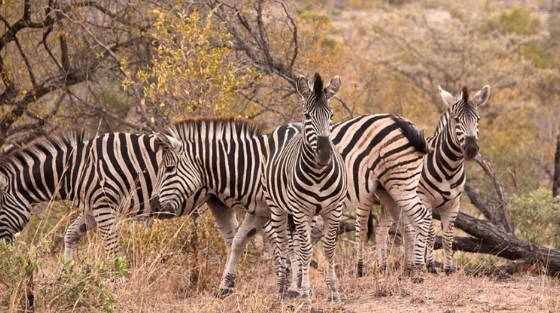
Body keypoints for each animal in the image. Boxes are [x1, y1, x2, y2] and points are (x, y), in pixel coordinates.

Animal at [0, 129, 176, 260]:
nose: (3, 254)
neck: (74, 171)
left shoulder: (103, 206)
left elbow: (111, 249)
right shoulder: (91, 208)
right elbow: (71, 234)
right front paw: (66, 277)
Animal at [262, 72, 346, 300]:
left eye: (331, 115)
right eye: (308, 116)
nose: (325, 154)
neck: (318, 174)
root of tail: (289, 124)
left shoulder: (333, 209)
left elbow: (328, 248)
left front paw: (333, 290)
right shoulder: (300, 210)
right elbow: (306, 250)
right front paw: (307, 295)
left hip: (309, 214)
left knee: (296, 245)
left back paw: (296, 285)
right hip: (277, 208)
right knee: (283, 244)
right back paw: (283, 288)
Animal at [376, 84, 490, 274]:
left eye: (478, 119)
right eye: (456, 120)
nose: (472, 149)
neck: (450, 168)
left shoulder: (454, 203)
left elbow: (448, 236)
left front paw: (449, 268)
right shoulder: (425, 199)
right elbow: (429, 233)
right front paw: (429, 265)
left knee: (392, 228)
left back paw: (399, 265)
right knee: (380, 229)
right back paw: (382, 266)